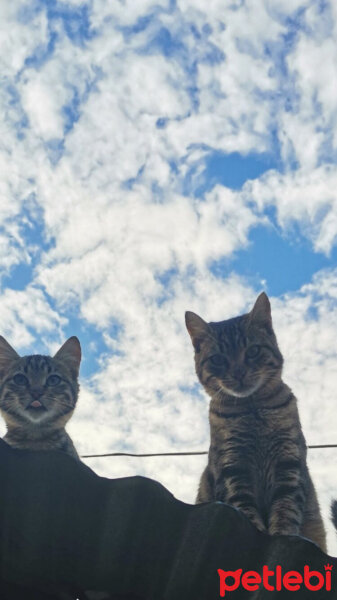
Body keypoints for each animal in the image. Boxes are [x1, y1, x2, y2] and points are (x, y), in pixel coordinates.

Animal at [184, 292, 326, 552]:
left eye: (252, 351)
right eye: (218, 359)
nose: (239, 372)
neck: (252, 409)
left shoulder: (288, 461)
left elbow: (286, 507)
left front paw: (282, 535)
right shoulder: (232, 466)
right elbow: (243, 506)